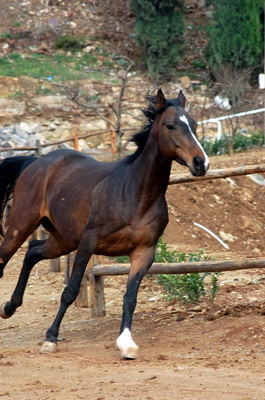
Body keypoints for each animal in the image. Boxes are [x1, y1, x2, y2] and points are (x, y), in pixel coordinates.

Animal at [0, 90, 208, 360]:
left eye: (194, 124)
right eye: (170, 125)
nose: (201, 163)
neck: (134, 194)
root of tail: (37, 161)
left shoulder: (144, 252)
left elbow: (130, 297)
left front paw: (126, 343)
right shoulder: (88, 242)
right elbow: (70, 291)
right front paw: (50, 339)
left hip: (62, 241)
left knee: (33, 251)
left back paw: (10, 307)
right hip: (20, 227)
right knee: (5, 257)